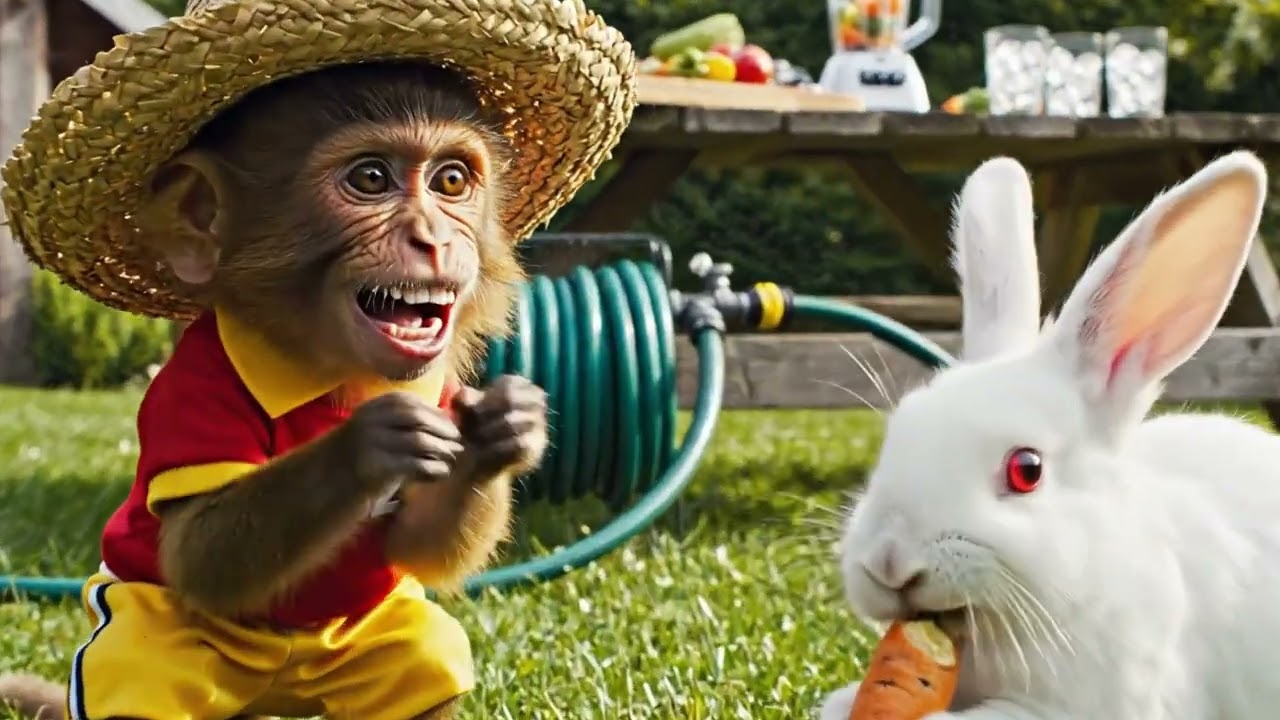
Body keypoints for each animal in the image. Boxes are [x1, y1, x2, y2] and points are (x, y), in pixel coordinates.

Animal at [0, 60, 548, 720]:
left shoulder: (436, 387)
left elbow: (419, 543)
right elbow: (199, 554)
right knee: (144, 673)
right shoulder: (189, 389)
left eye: (451, 181)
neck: (328, 368)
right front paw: (365, 445)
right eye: (371, 178)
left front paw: (504, 432)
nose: (434, 238)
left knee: (423, 657)